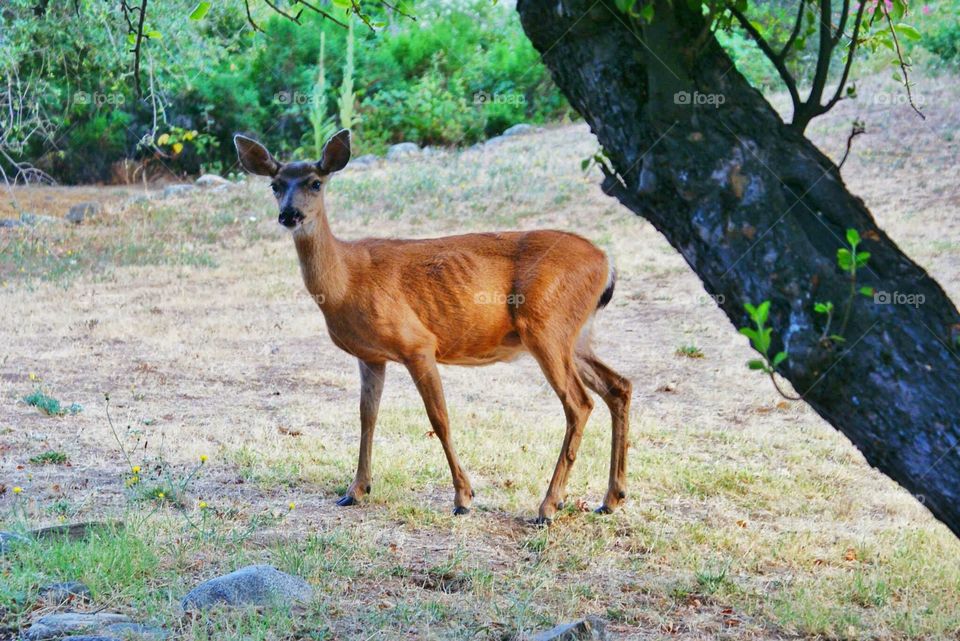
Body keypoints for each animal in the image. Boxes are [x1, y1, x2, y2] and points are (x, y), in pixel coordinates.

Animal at [234, 129, 632, 524]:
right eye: (275, 185)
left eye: (315, 183)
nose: (289, 214)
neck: (346, 281)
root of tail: (606, 261)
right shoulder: (371, 355)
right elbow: (367, 417)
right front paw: (356, 491)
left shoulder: (417, 343)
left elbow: (439, 418)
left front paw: (464, 497)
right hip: (575, 335)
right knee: (618, 386)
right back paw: (611, 499)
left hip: (546, 326)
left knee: (579, 403)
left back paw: (549, 506)